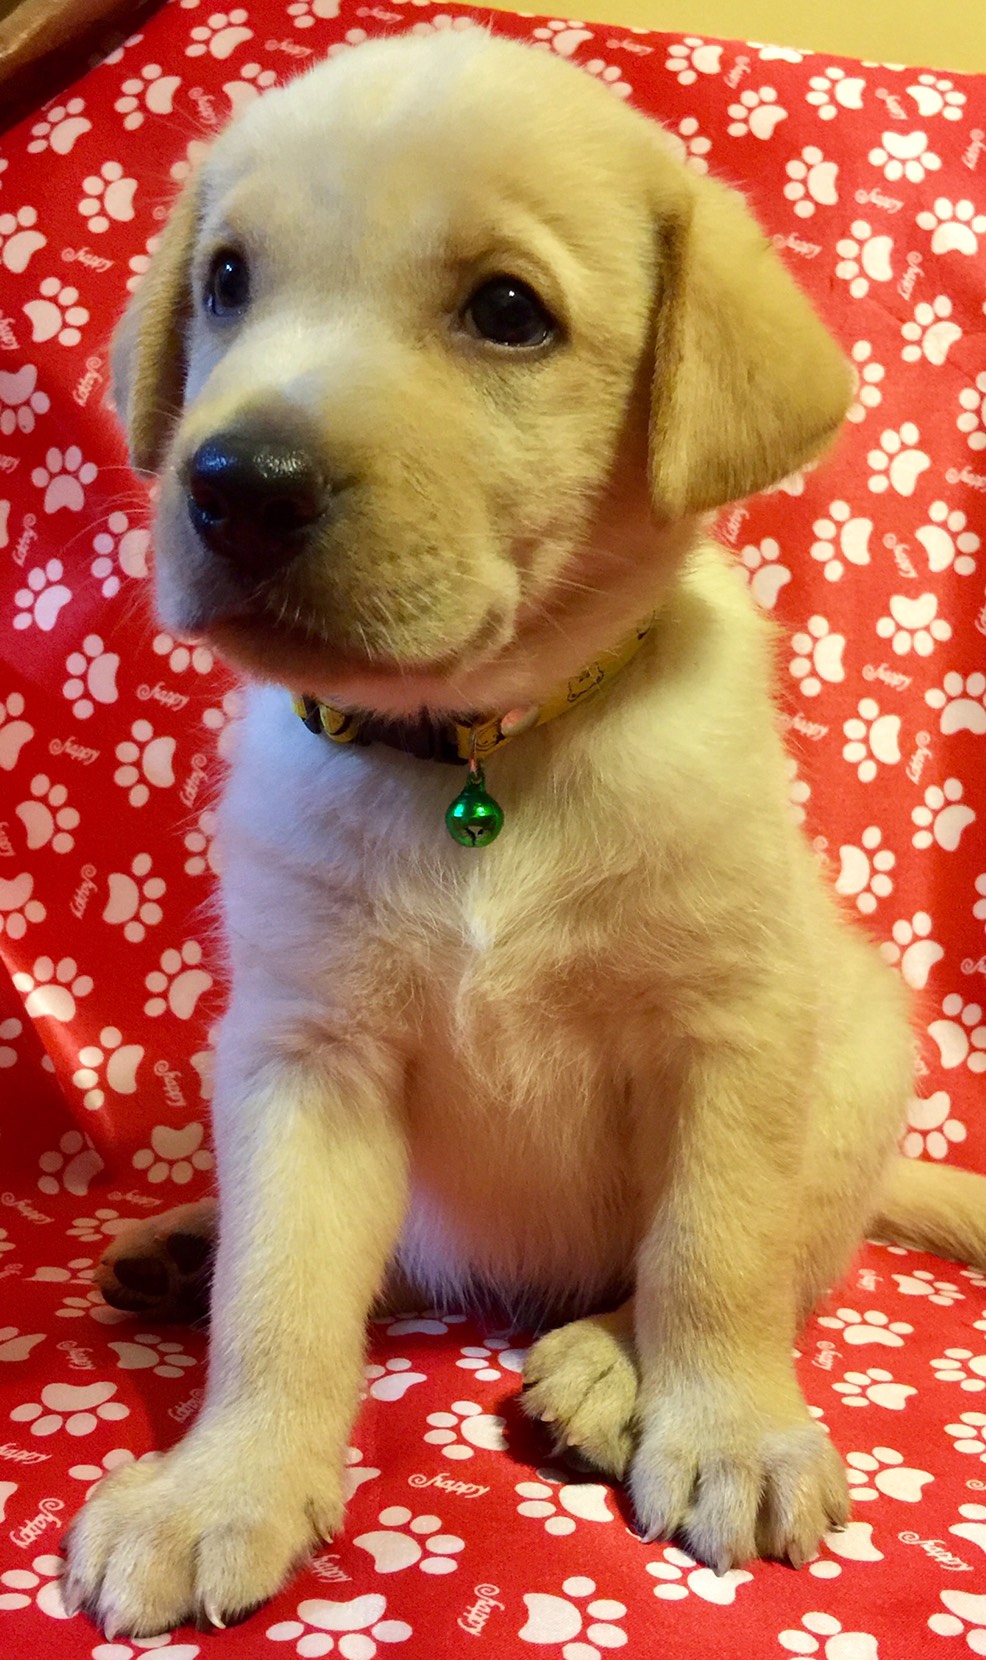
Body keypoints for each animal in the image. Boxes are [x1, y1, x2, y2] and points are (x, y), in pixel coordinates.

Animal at [63, 28, 986, 1638]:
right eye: (227, 279)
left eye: (507, 312)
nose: (234, 485)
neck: (476, 756)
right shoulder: (301, 1054)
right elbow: (278, 1296)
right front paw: (221, 1483)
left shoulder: (733, 1029)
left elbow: (711, 1255)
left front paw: (726, 1428)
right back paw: (185, 1241)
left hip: (859, 1063)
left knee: (774, 1263)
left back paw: (609, 1359)